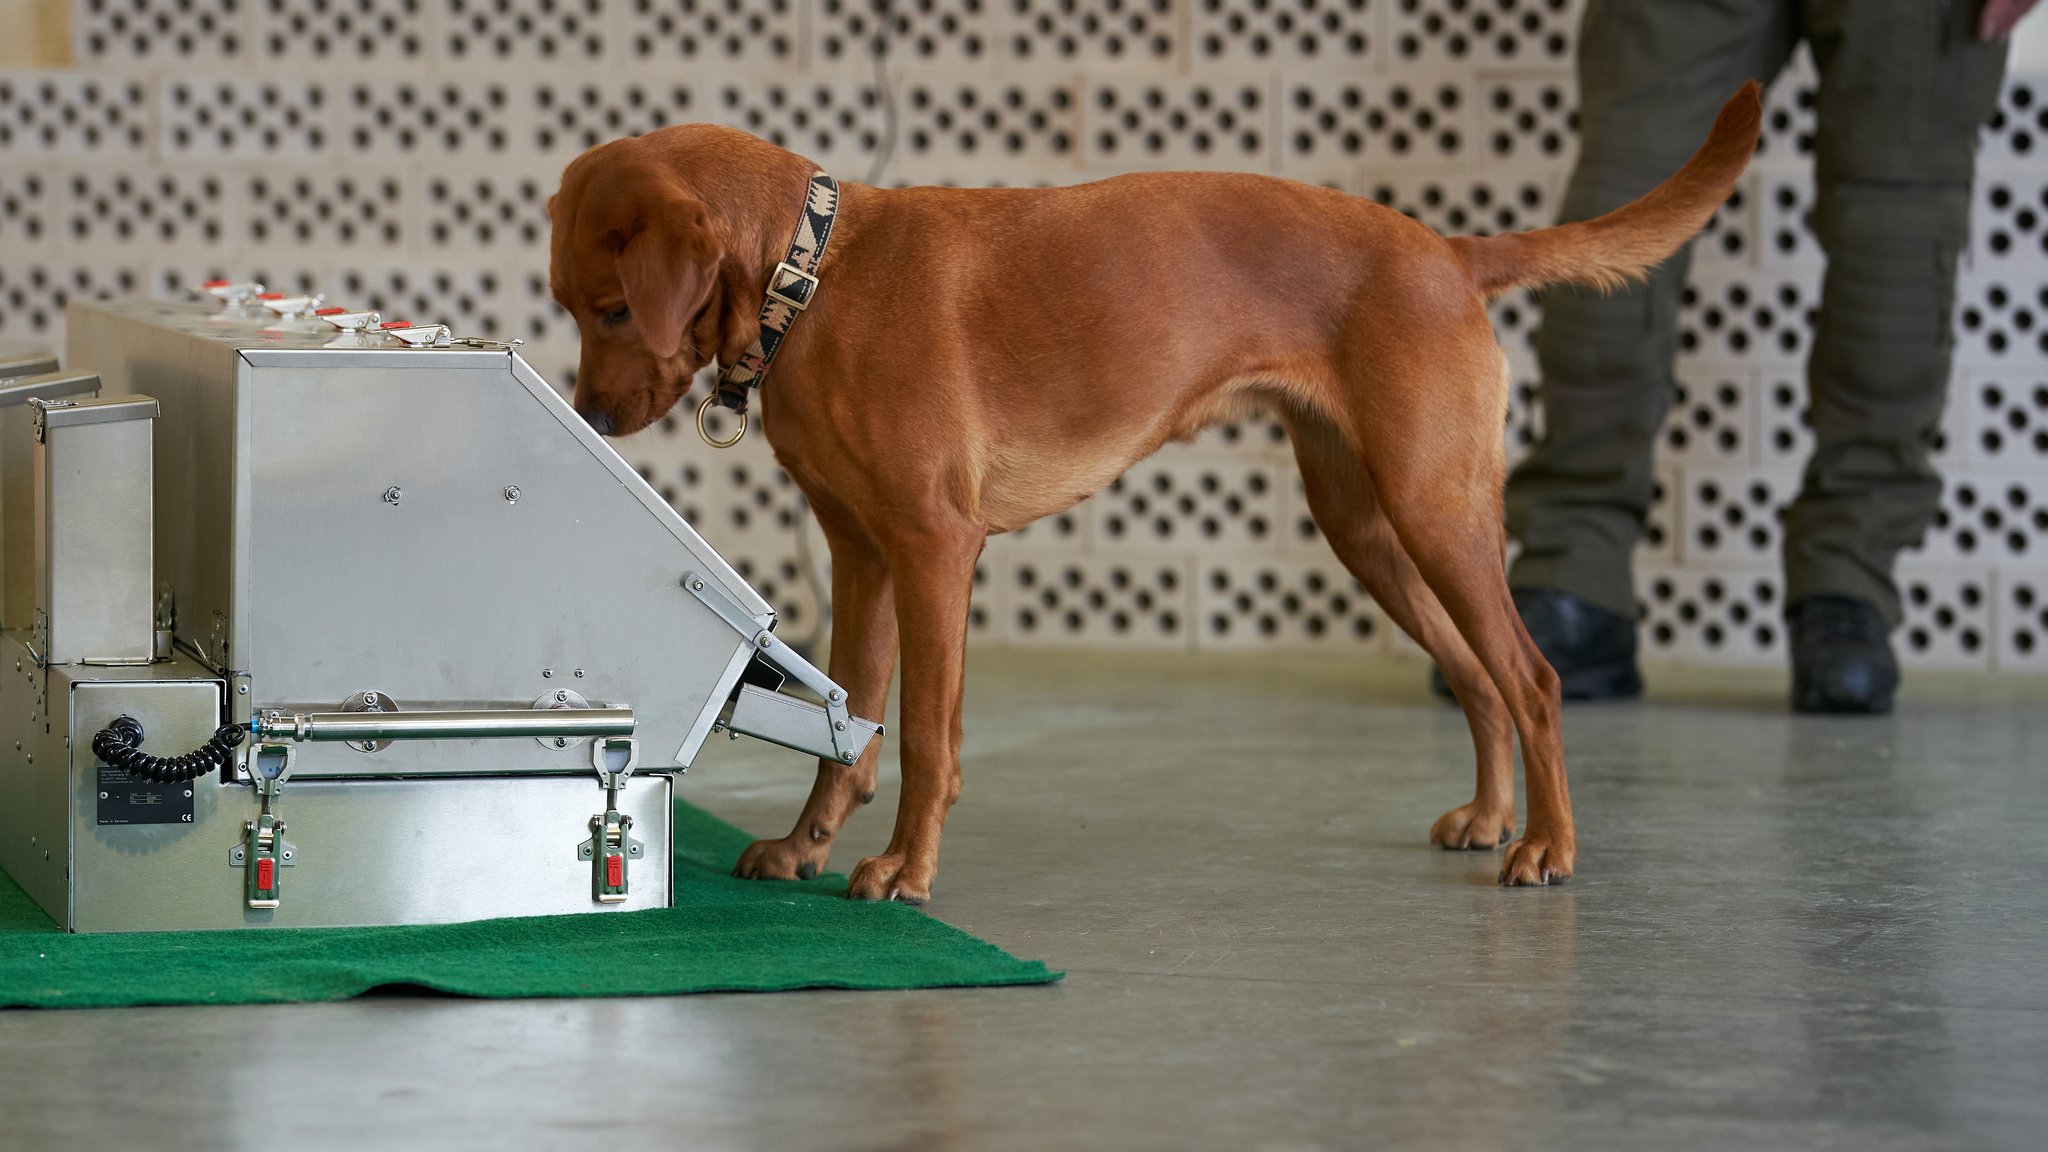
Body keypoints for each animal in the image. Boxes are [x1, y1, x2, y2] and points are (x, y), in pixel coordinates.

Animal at [552, 83, 1769, 897]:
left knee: (1533, 676)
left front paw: (903, 868)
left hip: (1437, 509)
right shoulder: (861, 554)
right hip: (1369, 529)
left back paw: (1548, 846)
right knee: (1476, 676)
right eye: (570, 308)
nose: (592, 420)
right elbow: (846, 723)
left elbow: (930, 738)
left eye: (612, 309)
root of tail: (1447, 253)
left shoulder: (934, 548)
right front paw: (807, 845)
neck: (810, 278)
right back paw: (1488, 817)